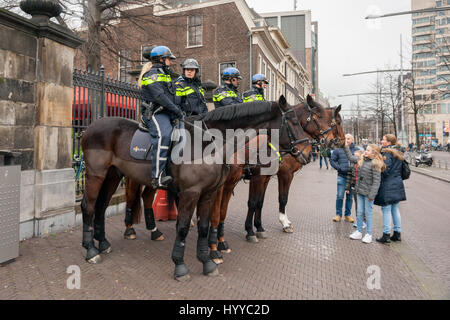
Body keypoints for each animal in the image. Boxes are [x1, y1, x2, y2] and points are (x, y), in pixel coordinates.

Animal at [80, 97, 306, 280]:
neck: (209, 143)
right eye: (295, 121)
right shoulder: (191, 193)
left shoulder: (208, 193)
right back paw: (91, 250)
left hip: (112, 175)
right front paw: (181, 265)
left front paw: (207, 261)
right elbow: (183, 227)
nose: (303, 153)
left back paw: (103, 243)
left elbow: (205, 225)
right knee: (88, 206)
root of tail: (90, 126)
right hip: (96, 174)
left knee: (101, 206)